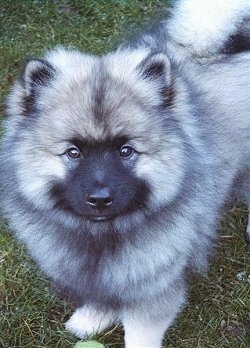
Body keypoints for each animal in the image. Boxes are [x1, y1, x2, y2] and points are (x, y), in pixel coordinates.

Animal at [0, 0, 249, 348]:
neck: (102, 236)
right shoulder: (101, 273)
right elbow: (102, 292)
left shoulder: (154, 283)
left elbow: (140, 330)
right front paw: (94, 317)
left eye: (126, 150)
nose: (100, 198)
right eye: (74, 152)